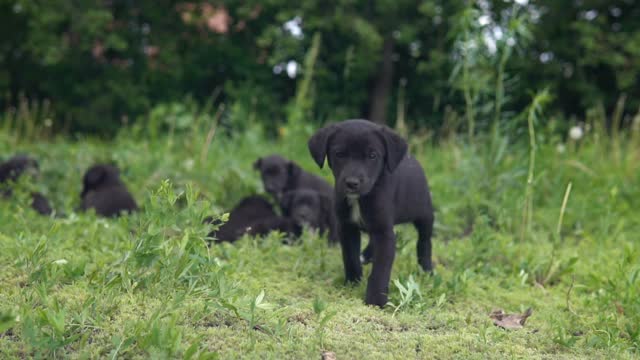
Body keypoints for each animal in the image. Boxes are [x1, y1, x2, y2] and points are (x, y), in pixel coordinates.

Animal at [306, 119, 436, 308]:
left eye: (372, 155)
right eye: (339, 154)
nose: (352, 183)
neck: (360, 199)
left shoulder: (385, 233)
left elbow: (381, 270)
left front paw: (376, 300)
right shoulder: (347, 228)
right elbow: (350, 257)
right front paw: (353, 282)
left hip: (424, 214)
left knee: (424, 242)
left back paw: (427, 270)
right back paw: (367, 256)